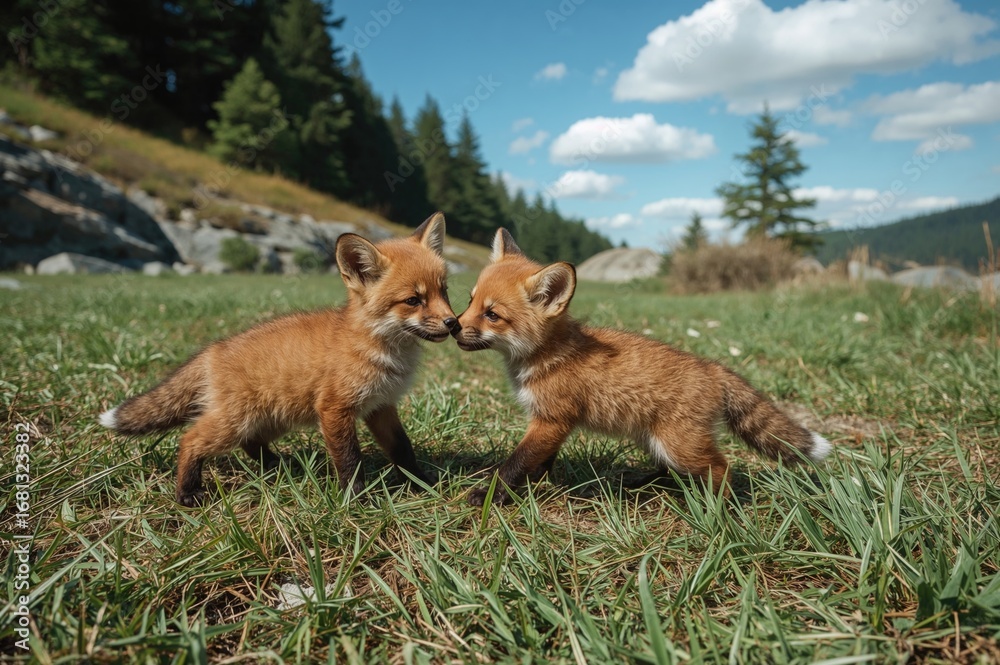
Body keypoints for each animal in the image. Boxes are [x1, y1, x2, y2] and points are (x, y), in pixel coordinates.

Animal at [100, 212, 458, 507]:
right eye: (413, 300)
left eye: (444, 291)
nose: (453, 323)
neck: (380, 347)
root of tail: (214, 349)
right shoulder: (335, 409)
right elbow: (349, 461)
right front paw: (356, 501)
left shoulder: (381, 407)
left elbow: (403, 450)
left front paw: (422, 484)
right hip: (234, 423)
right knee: (190, 439)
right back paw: (187, 492)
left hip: (271, 420)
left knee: (250, 444)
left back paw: (275, 467)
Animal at [453, 228, 833, 506]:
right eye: (470, 301)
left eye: (492, 314)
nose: (453, 326)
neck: (547, 354)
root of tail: (711, 367)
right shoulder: (551, 424)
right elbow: (537, 463)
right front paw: (534, 488)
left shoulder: (551, 420)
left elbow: (515, 463)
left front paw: (490, 495)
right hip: (655, 441)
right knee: (670, 473)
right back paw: (640, 485)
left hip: (678, 445)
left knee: (722, 469)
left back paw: (717, 510)